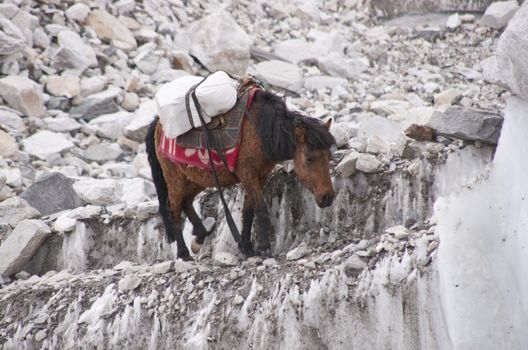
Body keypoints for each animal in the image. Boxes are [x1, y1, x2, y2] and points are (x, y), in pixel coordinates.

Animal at [145, 89, 334, 262]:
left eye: (329, 156)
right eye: (310, 158)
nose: (328, 197)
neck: (262, 130)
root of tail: (158, 124)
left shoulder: (259, 176)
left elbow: (248, 210)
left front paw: (247, 248)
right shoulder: (248, 174)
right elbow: (261, 208)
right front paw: (265, 249)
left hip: (196, 178)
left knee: (186, 202)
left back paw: (199, 238)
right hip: (175, 178)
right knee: (174, 209)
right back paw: (184, 253)